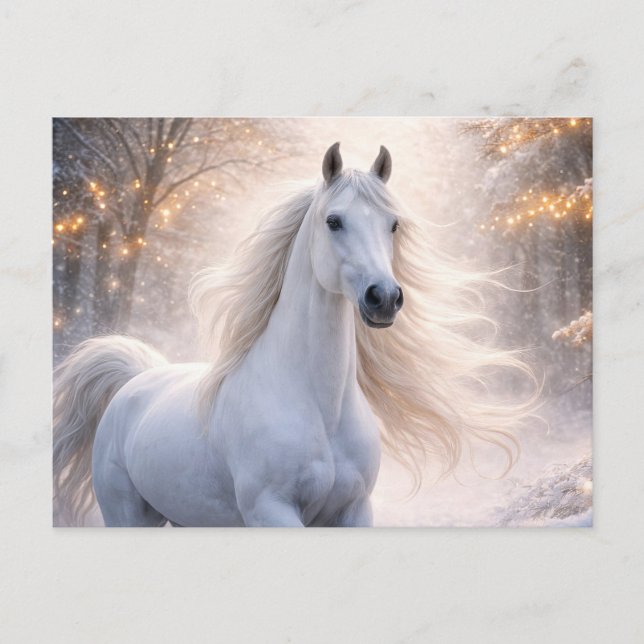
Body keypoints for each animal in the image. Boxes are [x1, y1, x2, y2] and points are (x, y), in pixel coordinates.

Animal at [53, 143, 535, 527]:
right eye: (334, 221)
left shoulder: (354, 511)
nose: (384, 298)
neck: (319, 407)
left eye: (393, 224)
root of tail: (135, 380)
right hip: (128, 516)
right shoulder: (272, 511)